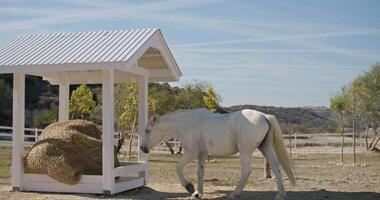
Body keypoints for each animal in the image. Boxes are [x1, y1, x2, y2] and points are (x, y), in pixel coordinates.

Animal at [141, 108, 296, 199]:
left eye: (147, 131)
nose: (143, 148)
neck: (187, 123)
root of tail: (265, 116)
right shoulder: (202, 154)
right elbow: (200, 173)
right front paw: (198, 193)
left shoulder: (191, 152)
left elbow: (178, 168)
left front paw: (189, 187)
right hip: (266, 148)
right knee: (277, 168)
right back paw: (280, 195)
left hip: (245, 151)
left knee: (246, 171)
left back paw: (235, 194)